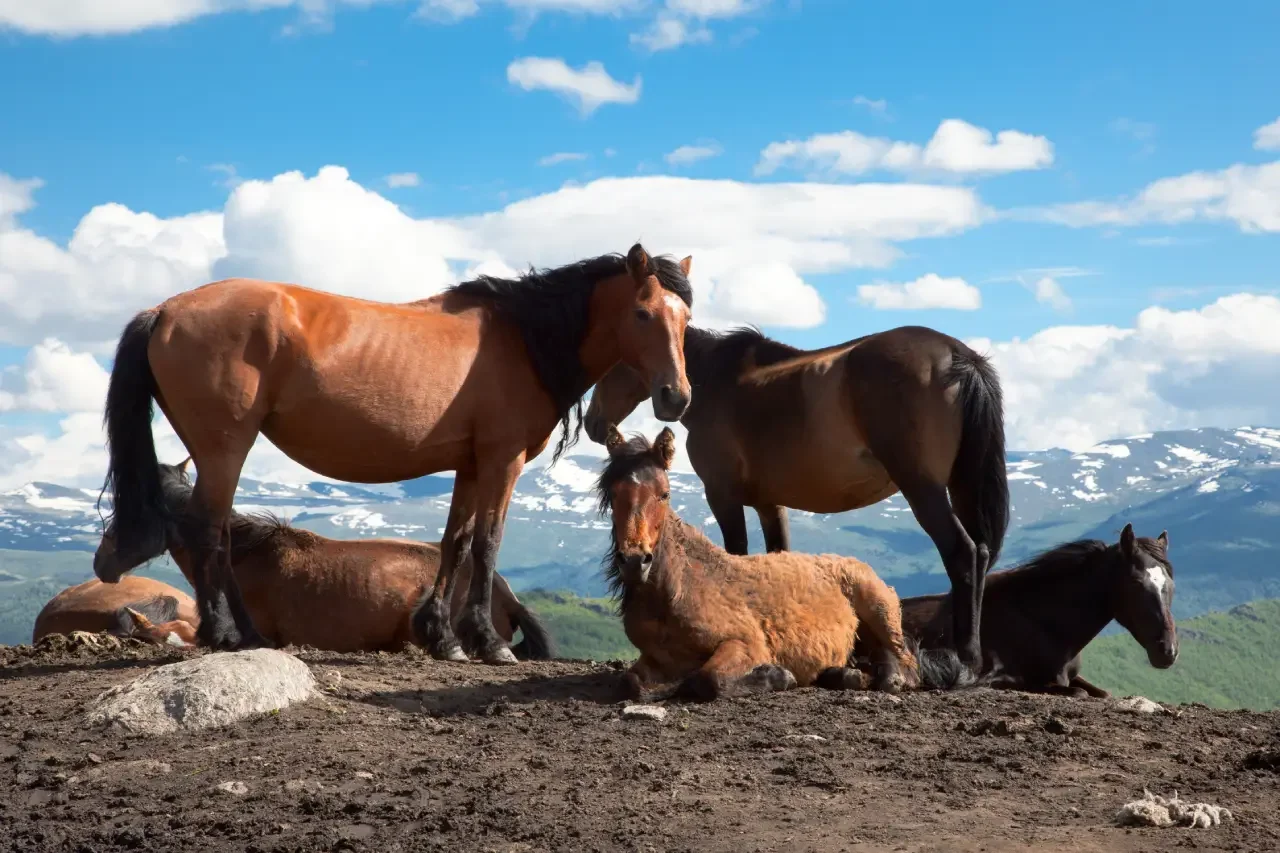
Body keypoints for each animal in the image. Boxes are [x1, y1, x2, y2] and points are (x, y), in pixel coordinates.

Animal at [583, 324, 1008, 668]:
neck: (717, 383)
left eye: (611, 362)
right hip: (959, 484)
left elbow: (737, 553)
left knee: (963, 552)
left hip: (923, 487)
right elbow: (777, 557)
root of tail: (959, 356)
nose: (592, 423)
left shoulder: (723, 494)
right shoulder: (769, 504)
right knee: (982, 552)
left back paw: (966, 654)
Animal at [596, 425, 974, 702]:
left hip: (878, 609)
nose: (635, 561)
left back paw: (874, 678)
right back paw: (841, 674)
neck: (679, 589)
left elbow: (706, 680)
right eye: (613, 493)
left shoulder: (744, 643)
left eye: (664, 494)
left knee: (904, 664)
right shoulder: (652, 658)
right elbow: (631, 683)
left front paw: (776, 675)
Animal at [866, 523, 1177, 698]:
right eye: (1136, 583)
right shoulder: (1020, 678)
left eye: (1171, 585)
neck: (1042, 623)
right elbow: (1077, 693)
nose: (1168, 651)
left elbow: (1103, 693)